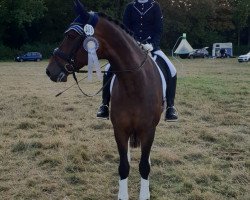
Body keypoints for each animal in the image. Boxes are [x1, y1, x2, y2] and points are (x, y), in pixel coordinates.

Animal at [46, 0, 164, 199]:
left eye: (71, 35)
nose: (50, 71)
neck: (135, 83)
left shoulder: (148, 130)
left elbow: (144, 167)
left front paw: (144, 193)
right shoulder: (120, 130)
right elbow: (123, 167)